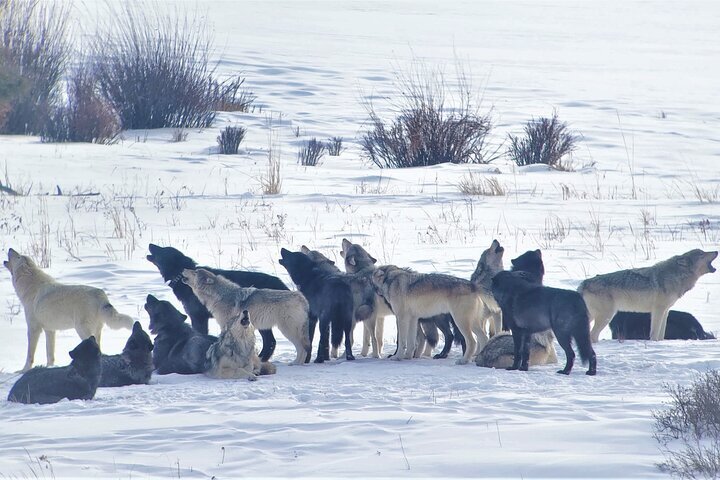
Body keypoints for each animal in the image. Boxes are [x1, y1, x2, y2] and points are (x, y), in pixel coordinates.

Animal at [4, 249, 133, 374]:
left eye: (18, 256)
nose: (10, 248)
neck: (31, 287)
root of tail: (101, 295)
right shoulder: (50, 330)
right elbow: (50, 355)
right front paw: (50, 367)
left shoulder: (34, 329)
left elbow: (30, 355)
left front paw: (23, 370)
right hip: (94, 332)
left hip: (82, 331)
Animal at [146, 244, 290, 360]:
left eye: (163, 250)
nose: (150, 244)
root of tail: (280, 283)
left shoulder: (198, 317)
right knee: (270, 342)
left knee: (270, 342)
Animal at [580, 249, 716, 344]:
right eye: (701, 254)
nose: (716, 251)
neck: (677, 276)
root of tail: (583, 284)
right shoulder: (657, 310)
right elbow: (654, 334)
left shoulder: (665, 311)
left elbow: (661, 335)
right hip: (606, 316)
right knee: (592, 336)